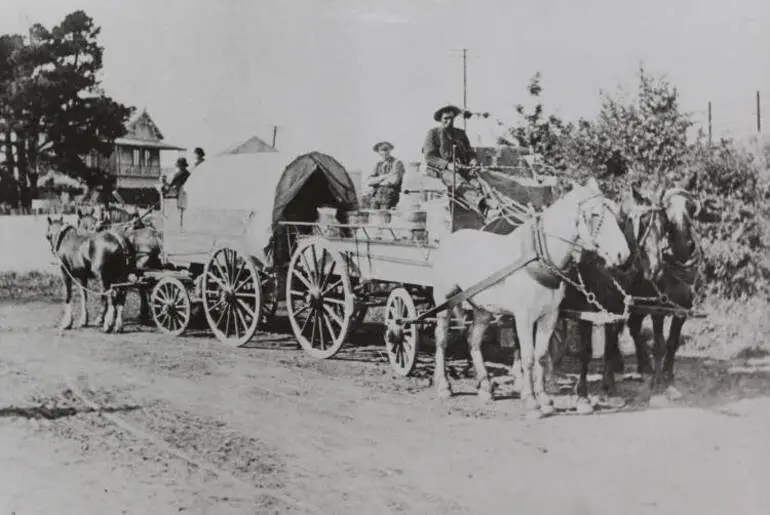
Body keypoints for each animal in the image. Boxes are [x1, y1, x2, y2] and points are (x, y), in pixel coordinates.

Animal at [428, 177, 628, 420]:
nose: (623, 254)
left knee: (473, 340)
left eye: (617, 215)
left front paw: (545, 400)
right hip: (444, 301)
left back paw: (485, 388)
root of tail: (448, 239)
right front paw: (531, 402)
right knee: (441, 339)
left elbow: (541, 355)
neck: (540, 257)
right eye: (595, 214)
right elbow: (528, 357)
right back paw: (444, 385)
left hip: (483, 308)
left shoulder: (550, 315)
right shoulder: (523, 317)